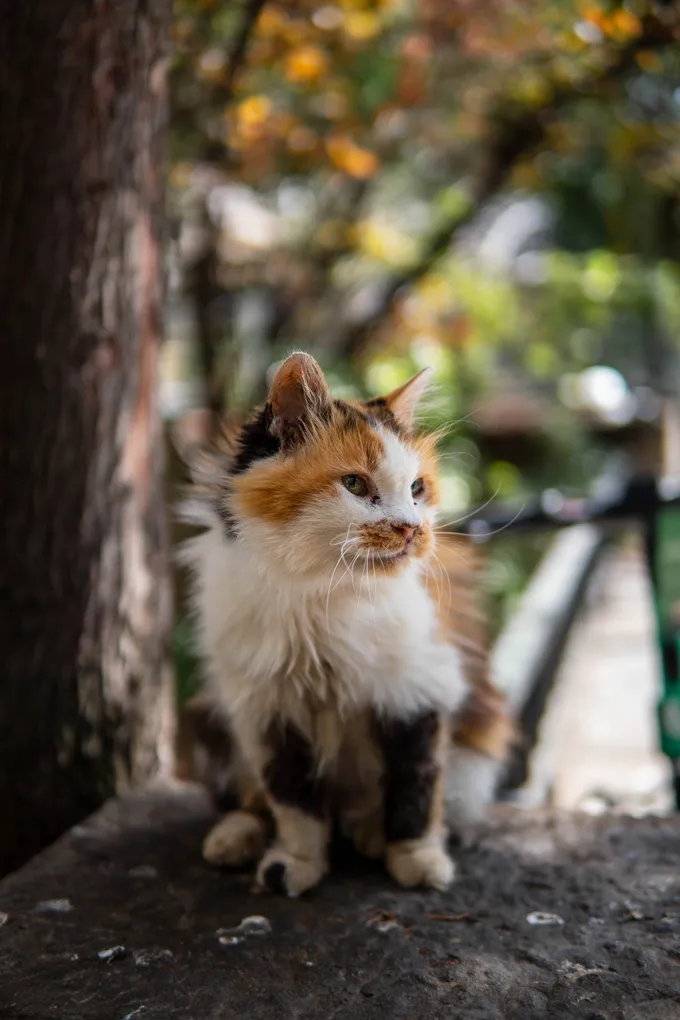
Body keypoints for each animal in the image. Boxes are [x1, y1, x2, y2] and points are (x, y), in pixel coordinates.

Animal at [177, 354, 515, 897]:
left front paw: (417, 861)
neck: (322, 597)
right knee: (252, 802)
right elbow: (293, 803)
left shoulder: (418, 691)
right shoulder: (267, 709)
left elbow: (416, 789)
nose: (411, 529)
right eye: (355, 484)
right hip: (212, 716)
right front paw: (295, 864)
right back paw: (236, 839)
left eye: (417, 489)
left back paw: (370, 834)